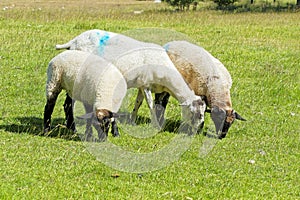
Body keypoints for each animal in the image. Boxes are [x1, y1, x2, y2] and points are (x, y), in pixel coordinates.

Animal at [55, 28, 206, 131]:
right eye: (197, 114)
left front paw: (132, 121)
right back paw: (71, 127)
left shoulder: (142, 85)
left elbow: (138, 103)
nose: (199, 129)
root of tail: (74, 41)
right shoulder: (146, 85)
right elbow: (150, 105)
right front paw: (156, 125)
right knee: (68, 103)